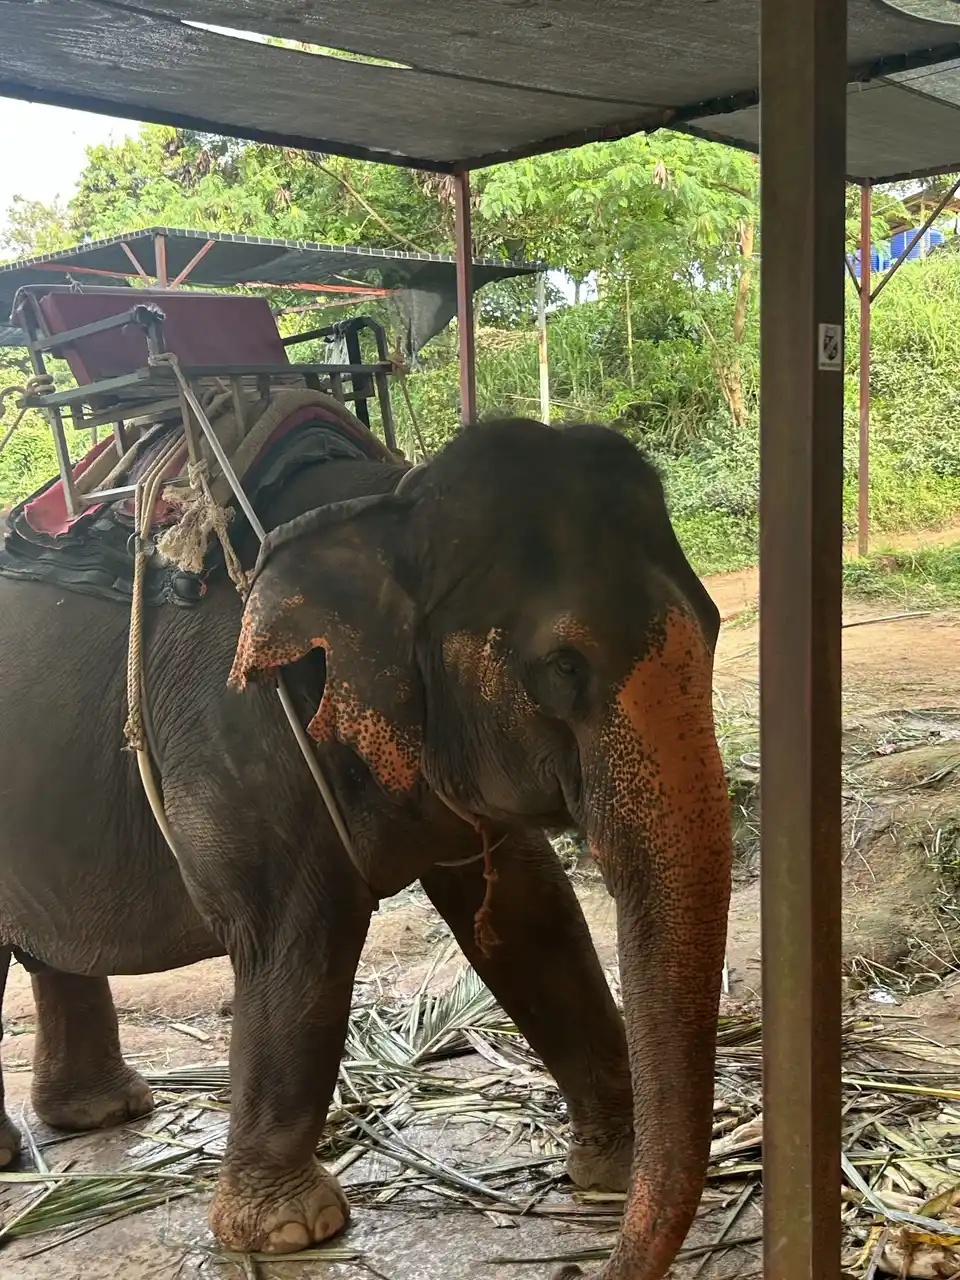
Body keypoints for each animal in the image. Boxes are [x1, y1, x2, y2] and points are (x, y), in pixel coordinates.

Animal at [0, 416, 732, 1280]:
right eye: (563, 665)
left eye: (715, 626)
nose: (585, 1267)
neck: (387, 508)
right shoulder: (238, 732)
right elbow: (299, 941)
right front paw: (287, 1233)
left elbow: (536, 919)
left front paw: (612, 1173)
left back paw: (103, 1112)